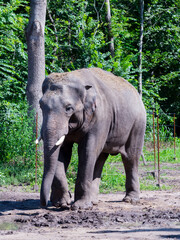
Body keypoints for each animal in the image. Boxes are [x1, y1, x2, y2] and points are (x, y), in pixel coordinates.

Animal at [39, 67, 146, 210]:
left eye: (68, 108)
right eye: (40, 105)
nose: (44, 204)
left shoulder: (100, 117)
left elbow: (87, 151)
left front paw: (79, 207)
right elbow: (62, 153)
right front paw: (62, 203)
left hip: (138, 124)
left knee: (130, 158)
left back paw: (130, 200)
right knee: (100, 159)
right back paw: (94, 201)